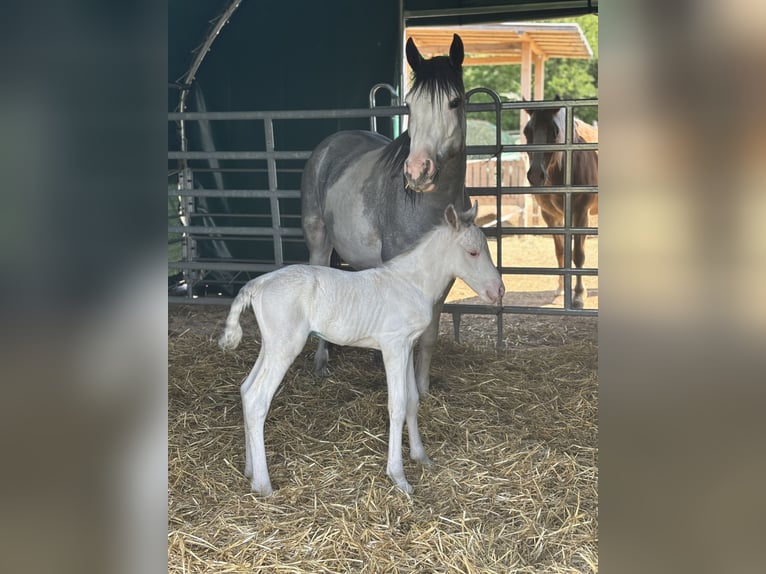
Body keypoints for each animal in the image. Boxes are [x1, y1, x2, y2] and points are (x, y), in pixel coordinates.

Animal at [219, 203, 504, 496]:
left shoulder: (407, 346)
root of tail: (257, 284)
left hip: (272, 345)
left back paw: (249, 471)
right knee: (257, 399)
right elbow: (397, 405)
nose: (499, 291)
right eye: (473, 252)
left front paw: (421, 456)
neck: (412, 283)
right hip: (286, 346)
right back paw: (263, 484)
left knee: (246, 389)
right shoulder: (393, 346)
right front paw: (399, 477)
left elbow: (413, 400)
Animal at [301, 34, 470, 396]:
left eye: (454, 102)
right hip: (319, 241)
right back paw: (322, 362)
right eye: (410, 104)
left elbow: (429, 337)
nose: (418, 172)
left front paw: (423, 388)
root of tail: (329, 145)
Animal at [523, 96, 599, 309]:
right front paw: (561, 291)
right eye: (527, 131)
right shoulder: (551, 216)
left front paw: (579, 295)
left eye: (554, 131)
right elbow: (560, 253)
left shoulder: (580, 214)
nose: (536, 175)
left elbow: (578, 255)